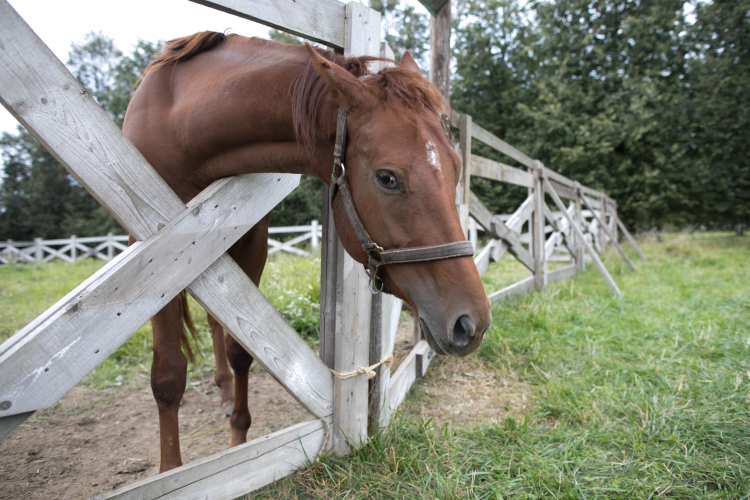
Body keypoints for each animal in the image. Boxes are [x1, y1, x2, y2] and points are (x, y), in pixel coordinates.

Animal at [123, 33, 494, 470]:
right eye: (387, 178)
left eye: (456, 167)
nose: (471, 323)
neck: (182, 120)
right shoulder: (152, 251)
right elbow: (168, 375)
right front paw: (171, 471)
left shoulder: (251, 240)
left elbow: (240, 348)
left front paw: (238, 444)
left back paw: (226, 392)